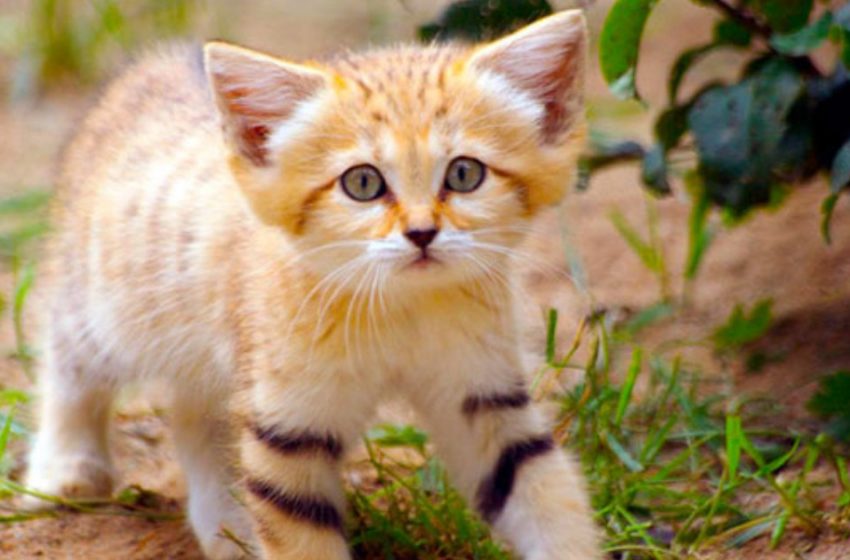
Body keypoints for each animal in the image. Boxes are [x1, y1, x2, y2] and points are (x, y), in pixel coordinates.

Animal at [24, 8, 596, 560]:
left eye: (463, 175)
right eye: (362, 183)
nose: (421, 233)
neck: (401, 308)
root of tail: (149, 67)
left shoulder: (486, 396)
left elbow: (548, 496)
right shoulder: (286, 423)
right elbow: (302, 537)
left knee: (192, 414)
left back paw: (225, 528)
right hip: (103, 308)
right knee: (67, 361)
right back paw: (66, 468)